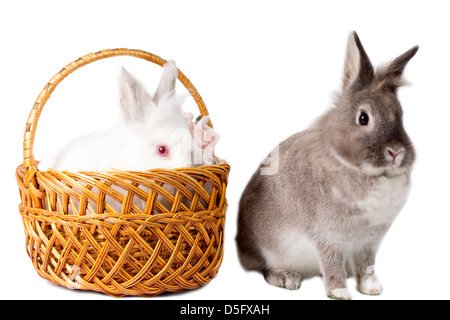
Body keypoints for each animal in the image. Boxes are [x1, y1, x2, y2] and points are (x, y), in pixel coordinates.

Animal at [236, 31, 418, 298]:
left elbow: (368, 265)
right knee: (266, 272)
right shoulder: (329, 238)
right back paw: (288, 278)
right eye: (363, 118)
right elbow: (332, 264)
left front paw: (371, 288)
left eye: (401, 116)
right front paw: (340, 292)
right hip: (270, 252)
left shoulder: (369, 240)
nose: (396, 152)